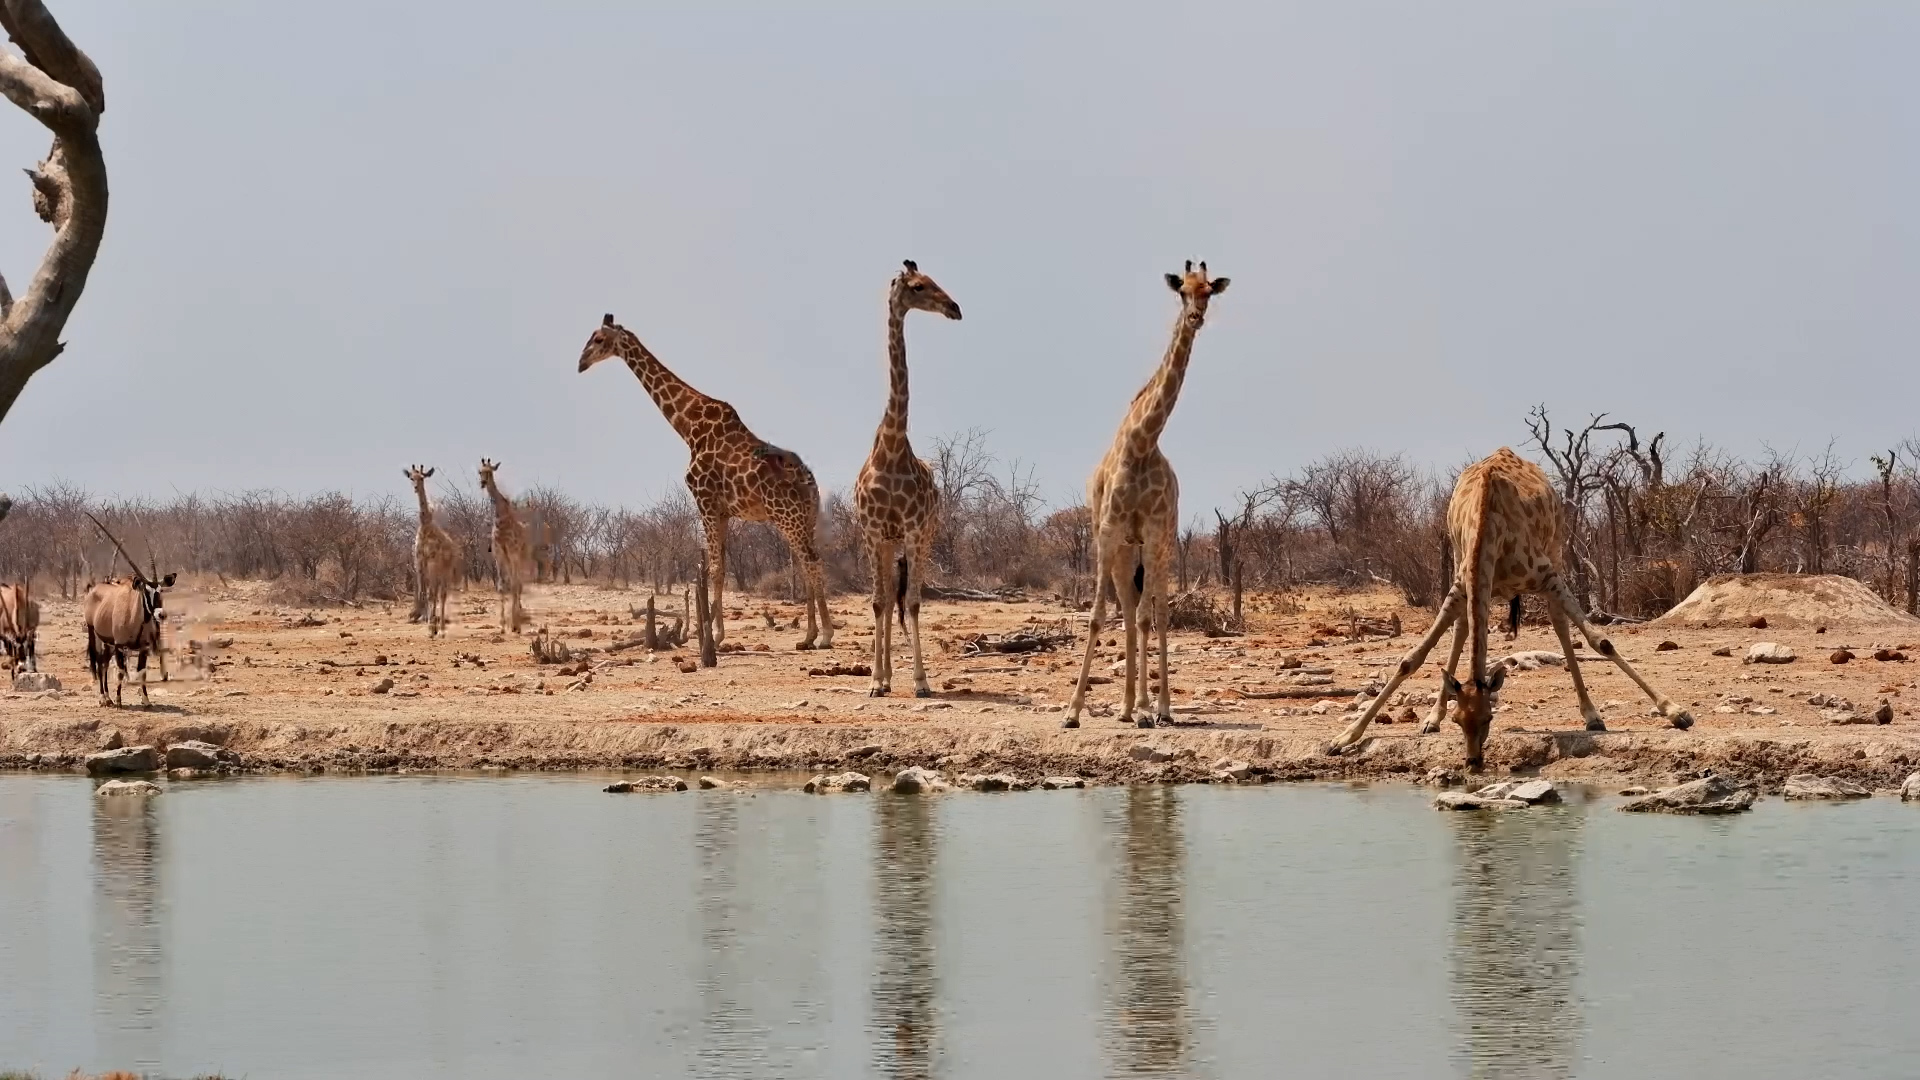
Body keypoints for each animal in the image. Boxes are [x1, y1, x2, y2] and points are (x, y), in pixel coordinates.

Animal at [404, 465, 459, 638]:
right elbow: (424, 593)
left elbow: (432, 594)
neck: (425, 526)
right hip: (436, 571)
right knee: (435, 593)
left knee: (442, 594)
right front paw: (428, 627)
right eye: (411, 477)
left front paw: (433, 627)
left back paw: (441, 629)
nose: (415, 488)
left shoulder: (433, 562)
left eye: (422, 478)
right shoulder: (419, 562)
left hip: (446, 570)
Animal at [477, 458, 533, 634]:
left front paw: (515, 624)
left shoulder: (513, 553)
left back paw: (517, 619)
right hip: (509, 560)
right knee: (515, 583)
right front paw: (502, 624)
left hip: (521, 558)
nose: (482, 483)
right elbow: (502, 586)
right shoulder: (499, 555)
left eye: (490, 471)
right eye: (480, 471)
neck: (501, 520)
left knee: (519, 583)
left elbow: (514, 585)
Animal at [578, 314, 833, 649]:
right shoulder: (722, 511)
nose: (581, 363)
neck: (688, 427)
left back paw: (824, 635)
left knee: (812, 562)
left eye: (598, 339)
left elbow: (714, 569)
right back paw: (809, 635)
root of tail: (812, 485)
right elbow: (719, 567)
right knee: (806, 563)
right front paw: (713, 631)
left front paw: (715, 634)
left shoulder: (705, 501)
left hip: (788, 517)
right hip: (804, 519)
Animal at [1065, 261, 1229, 729]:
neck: (1142, 442)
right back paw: (1126, 707)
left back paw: (1158, 708)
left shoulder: (1155, 531)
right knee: (1129, 610)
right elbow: (1098, 617)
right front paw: (1073, 710)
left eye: (1209, 291)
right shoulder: (1107, 533)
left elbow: (1146, 616)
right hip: (1126, 552)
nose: (1196, 318)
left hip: (1159, 547)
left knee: (1154, 612)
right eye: (1182, 292)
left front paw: (1148, 708)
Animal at [1328, 447, 1693, 768]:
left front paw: (1676, 712)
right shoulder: (1461, 586)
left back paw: (1592, 716)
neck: (1490, 528)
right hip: (1461, 562)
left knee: (1560, 626)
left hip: (1556, 549)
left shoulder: (1547, 575)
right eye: (1459, 720)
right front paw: (1344, 737)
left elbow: (1600, 641)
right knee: (1462, 629)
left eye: (1489, 717)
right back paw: (1431, 719)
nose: (1473, 762)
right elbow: (1410, 659)